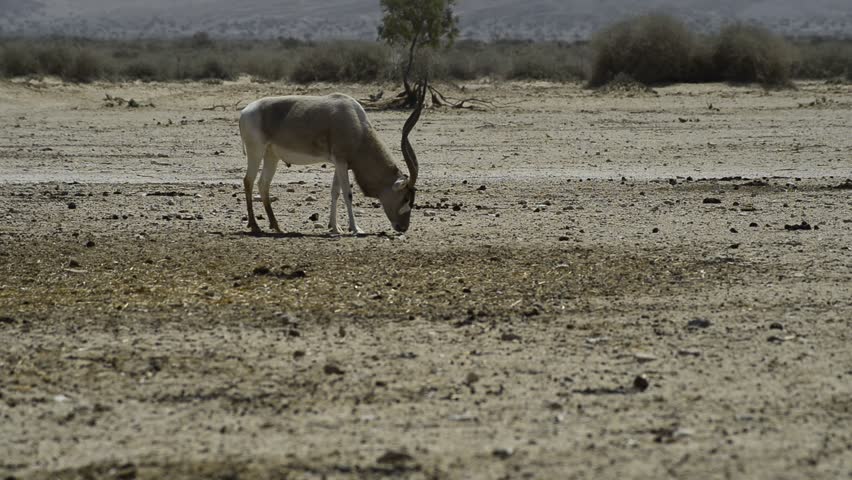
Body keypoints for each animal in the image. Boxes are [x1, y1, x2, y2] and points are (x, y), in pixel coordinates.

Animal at [238, 82, 426, 235]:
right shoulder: (341, 161)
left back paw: (277, 227)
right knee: (248, 180)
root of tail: (245, 112)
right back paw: (255, 226)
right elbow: (347, 193)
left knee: (263, 184)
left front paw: (335, 227)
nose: (403, 227)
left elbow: (335, 191)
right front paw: (355, 228)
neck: (357, 123)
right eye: (406, 198)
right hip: (256, 151)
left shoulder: (340, 163)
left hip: (271, 156)